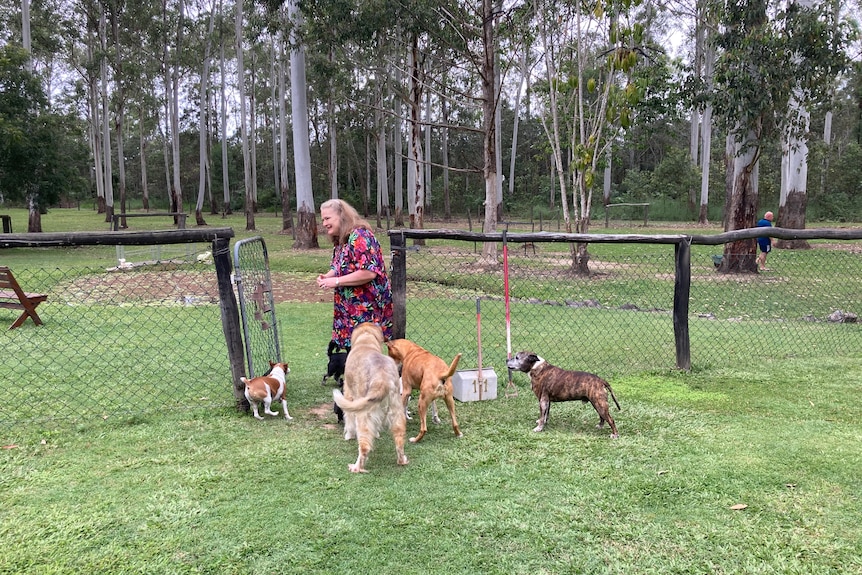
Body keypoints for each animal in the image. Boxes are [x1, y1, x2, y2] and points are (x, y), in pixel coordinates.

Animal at [334, 324, 408, 472]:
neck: (366, 339)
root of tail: (383, 378)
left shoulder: (349, 394)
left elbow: (348, 419)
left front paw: (348, 436)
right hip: (396, 411)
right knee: (399, 439)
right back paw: (402, 460)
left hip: (363, 414)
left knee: (364, 446)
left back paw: (356, 467)